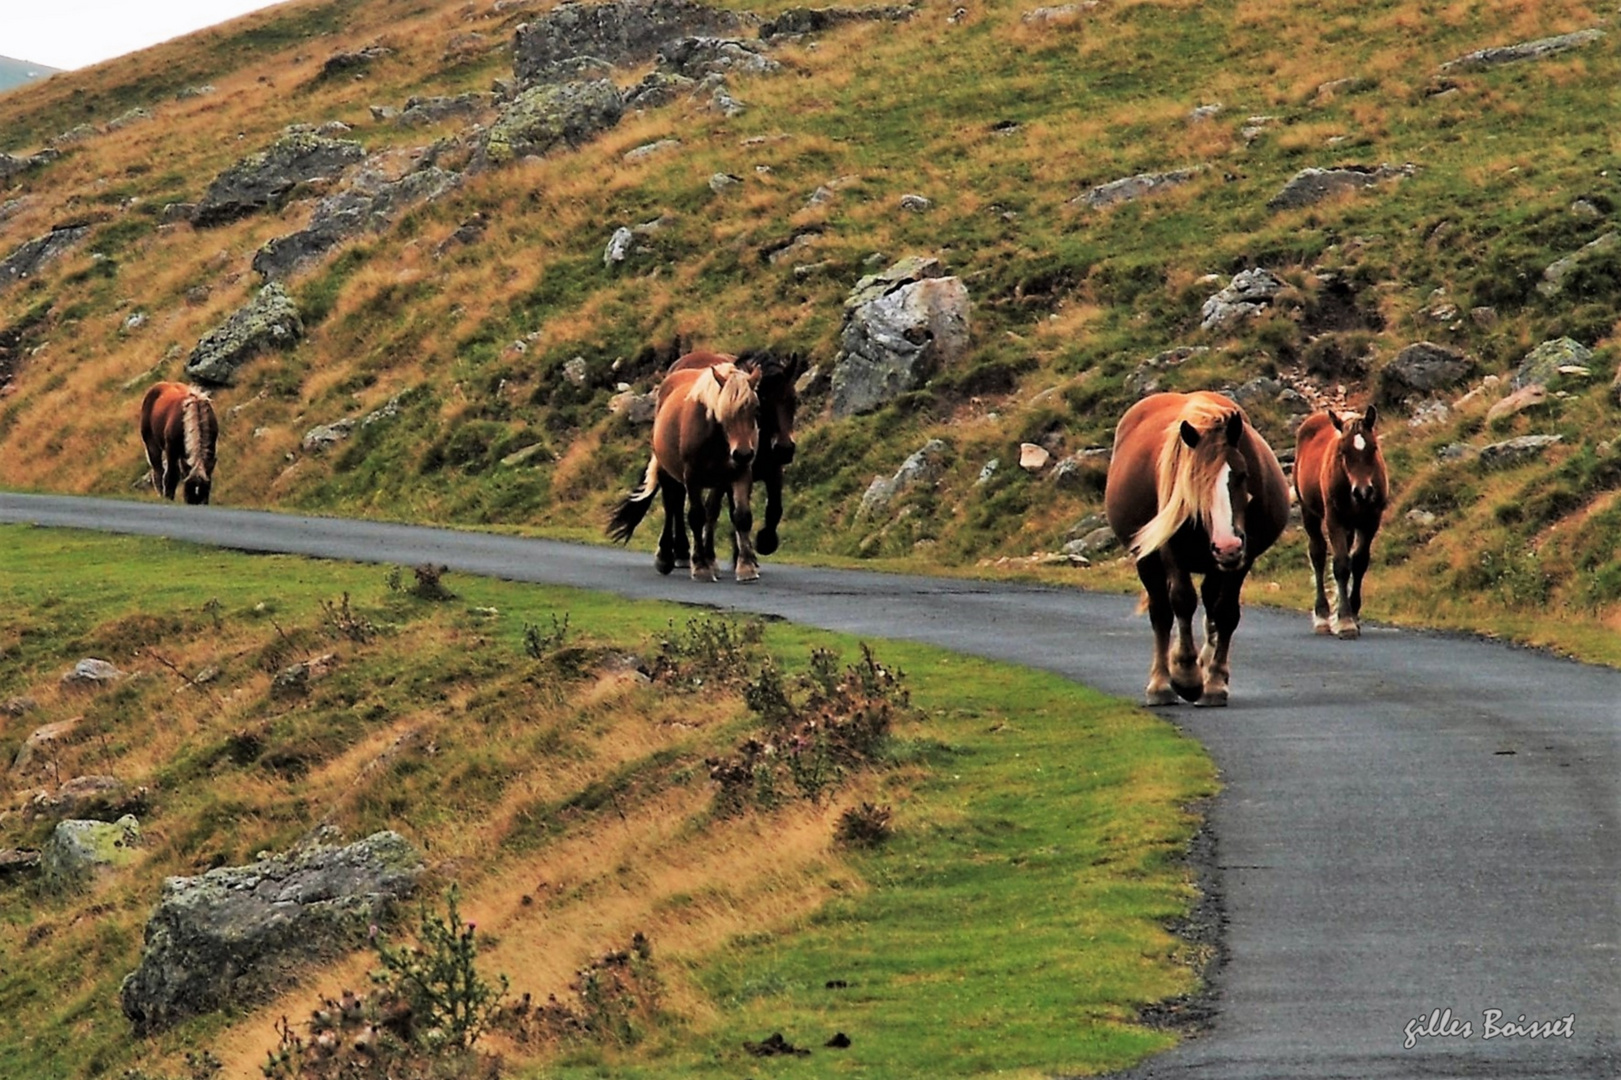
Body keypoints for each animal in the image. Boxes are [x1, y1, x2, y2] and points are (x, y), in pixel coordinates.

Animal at [609, 361, 765, 580]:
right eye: (724, 411)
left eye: (756, 409)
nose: (742, 453)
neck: (715, 438)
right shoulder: (692, 476)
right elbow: (696, 517)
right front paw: (701, 567)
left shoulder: (740, 473)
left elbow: (741, 516)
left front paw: (746, 567)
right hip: (669, 473)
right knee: (671, 506)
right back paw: (666, 557)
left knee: (710, 512)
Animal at [1102, 390, 1290, 703]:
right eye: (1193, 481)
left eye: (1241, 474)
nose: (1227, 546)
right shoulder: (1171, 552)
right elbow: (1182, 601)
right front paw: (1186, 676)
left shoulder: (1243, 559)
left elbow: (1225, 612)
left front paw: (1214, 681)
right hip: (1148, 561)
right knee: (1161, 612)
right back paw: (1161, 683)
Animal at [1290, 403, 1394, 638]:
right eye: (1343, 452)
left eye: (1374, 448)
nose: (1363, 492)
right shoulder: (1334, 520)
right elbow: (1341, 565)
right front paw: (1345, 621)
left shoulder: (1370, 521)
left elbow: (1359, 562)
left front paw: (1352, 614)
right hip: (1309, 512)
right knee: (1318, 554)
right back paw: (1322, 617)